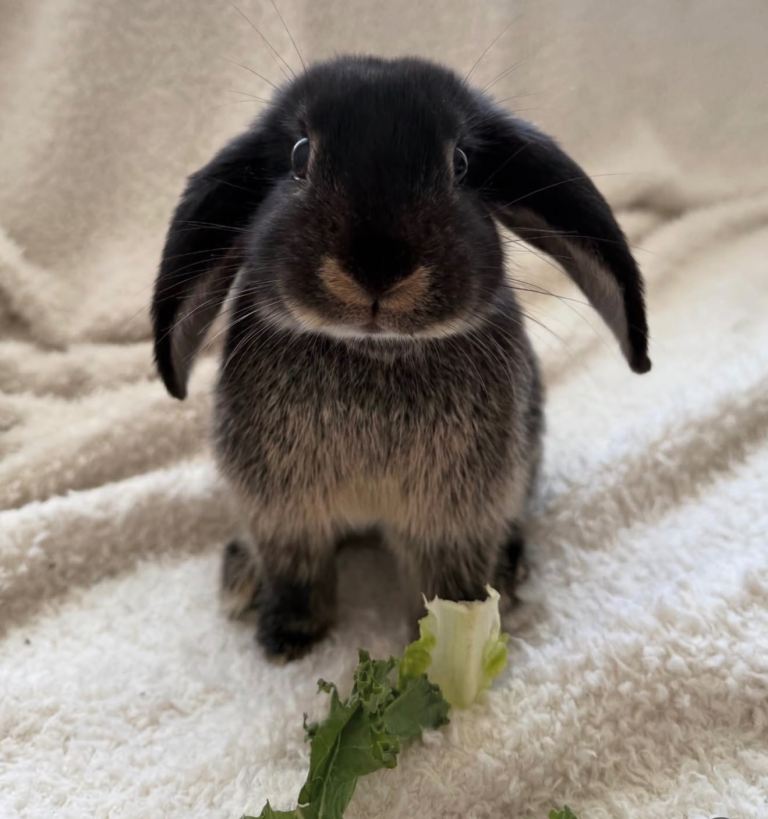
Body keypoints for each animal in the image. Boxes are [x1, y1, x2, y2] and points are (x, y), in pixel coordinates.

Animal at [151, 56, 650, 660]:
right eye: (299, 155)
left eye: (460, 163)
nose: (377, 268)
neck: (373, 351)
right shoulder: (284, 514)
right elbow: (297, 574)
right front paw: (285, 640)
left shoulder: (453, 521)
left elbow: (443, 587)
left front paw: (441, 649)